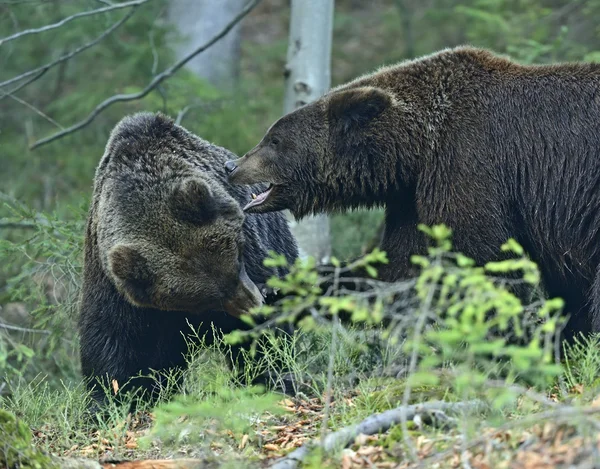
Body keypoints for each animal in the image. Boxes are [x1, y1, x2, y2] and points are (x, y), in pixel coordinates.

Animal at [77, 112, 298, 406]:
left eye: (237, 259)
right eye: (209, 297)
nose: (254, 305)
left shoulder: (254, 245)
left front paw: (267, 374)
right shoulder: (114, 283)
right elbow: (113, 338)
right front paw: (113, 398)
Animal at [225, 46, 600, 340]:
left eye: (274, 140)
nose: (232, 164)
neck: (416, 150)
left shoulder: (469, 166)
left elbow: (482, 259)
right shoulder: (411, 199)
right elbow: (395, 266)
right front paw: (282, 287)